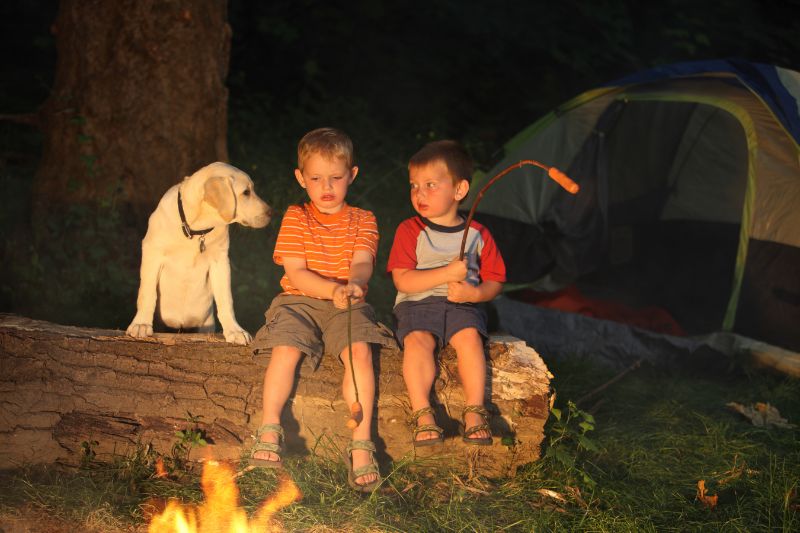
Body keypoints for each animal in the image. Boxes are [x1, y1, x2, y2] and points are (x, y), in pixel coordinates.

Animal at [128, 162, 270, 342]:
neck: (196, 229)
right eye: (246, 192)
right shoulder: (153, 253)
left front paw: (235, 330)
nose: (271, 212)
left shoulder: (220, 262)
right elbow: (147, 292)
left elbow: (226, 299)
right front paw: (141, 324)